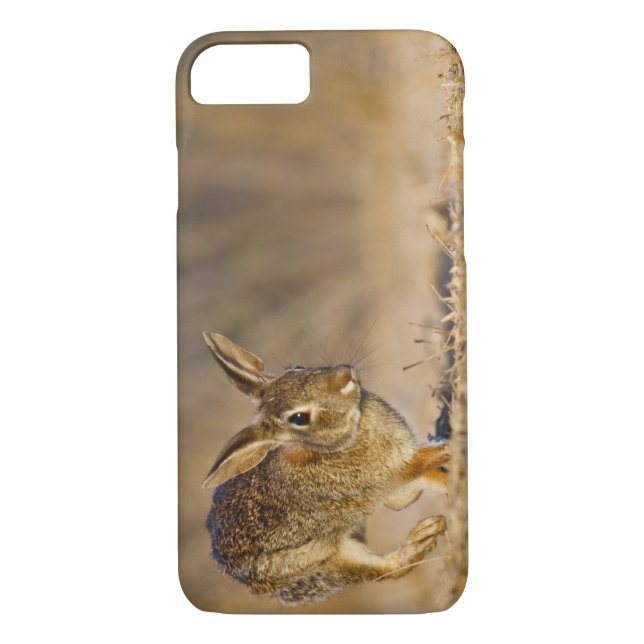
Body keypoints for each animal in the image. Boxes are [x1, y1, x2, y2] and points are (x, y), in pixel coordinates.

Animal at [202, 331, 449, 605]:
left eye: (297, 369)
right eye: (299, 418)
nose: (343, 374)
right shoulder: (397, 470)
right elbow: (429, 465)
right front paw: (453, 450)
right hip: (325, 557)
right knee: (387, 570)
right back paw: (424, 537)